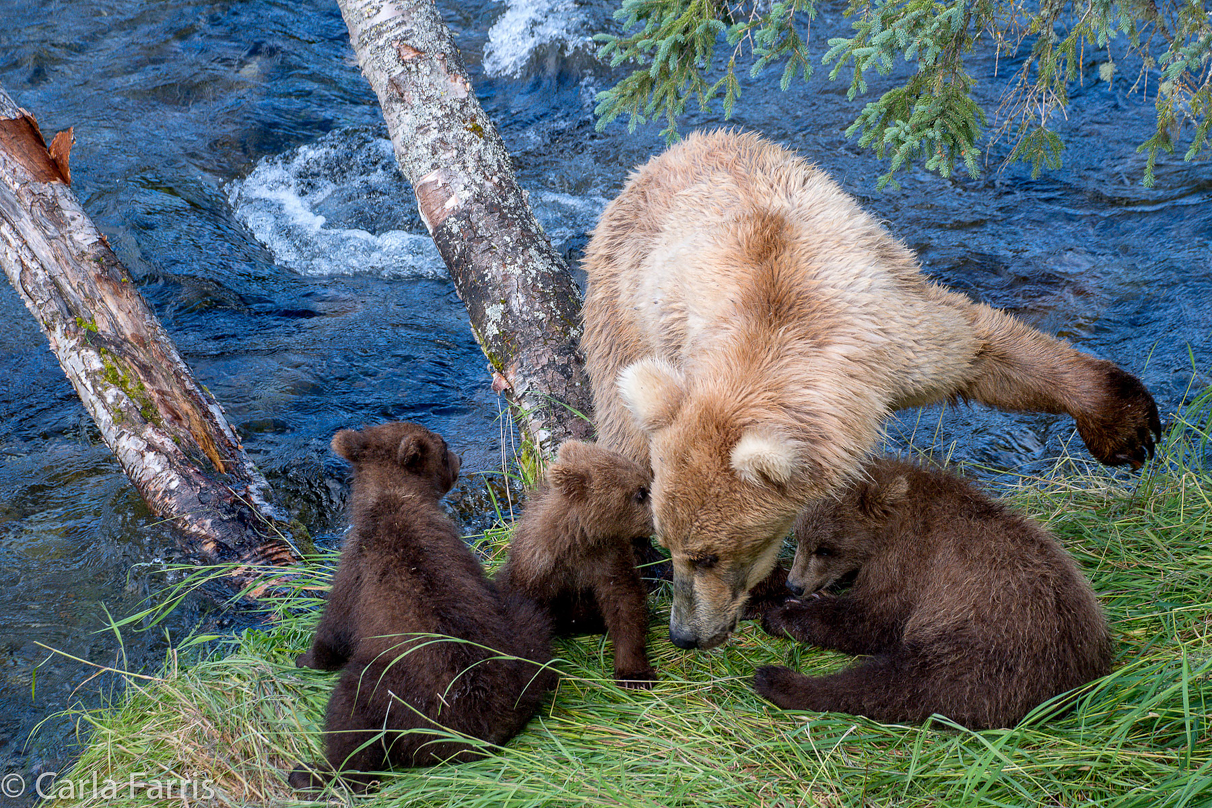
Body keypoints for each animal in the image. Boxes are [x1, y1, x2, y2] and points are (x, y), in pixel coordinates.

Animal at [581, 129, 1158, 654]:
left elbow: (983, 351)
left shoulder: (890, 344)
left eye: (710, 555)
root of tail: (677, 149)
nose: (685, 634)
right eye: (673, 542)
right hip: (621, 303)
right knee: (622, 426)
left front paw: (1127, 428)